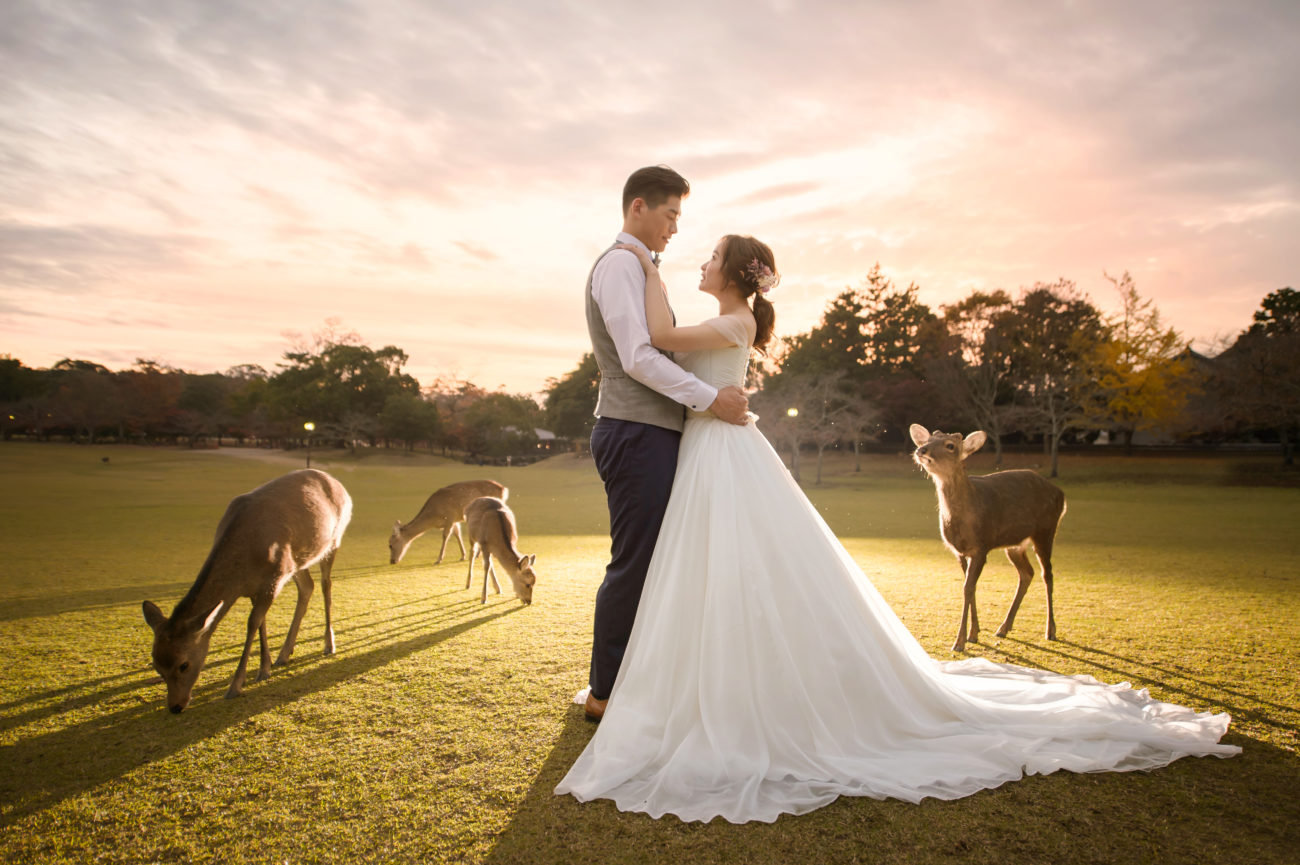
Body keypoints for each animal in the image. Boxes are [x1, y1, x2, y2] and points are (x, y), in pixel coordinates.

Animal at [142, 468, 351, 712]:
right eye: (156, 666)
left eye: (184, 664)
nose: (176, 706)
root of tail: (339, 484)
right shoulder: (258, 586)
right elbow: (261, 622)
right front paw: (265, 666)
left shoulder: (274, 577)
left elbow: (252, 623)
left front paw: (236, 685)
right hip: (299, 560)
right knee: (308, 586)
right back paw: (284, 654)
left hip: (332, 541)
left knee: (326, 585)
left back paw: (329, 644)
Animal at [909, 421, 1060, 650]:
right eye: (928, 440)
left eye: (950, 445)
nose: (921, 450)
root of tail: (1062, 494)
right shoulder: (960, 552)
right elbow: (969, 588)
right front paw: (974, 633)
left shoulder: (981, 546)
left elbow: (968, 588)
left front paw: (960, 641)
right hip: (1014, 544)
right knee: (1027, 573)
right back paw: (1003, 628)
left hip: (1046, 529)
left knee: (1047, 574)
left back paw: (1050, 630)